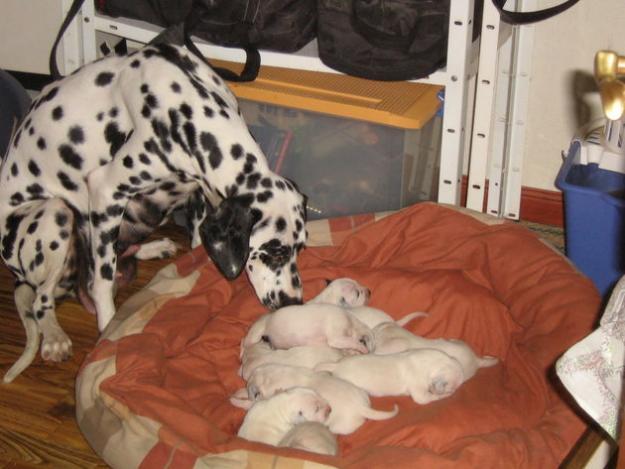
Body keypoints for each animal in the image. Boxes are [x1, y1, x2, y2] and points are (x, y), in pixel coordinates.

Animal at [0, 43, 308, 380]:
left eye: (300, 249)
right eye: (274, 252)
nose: (294, 301)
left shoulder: (196, 191)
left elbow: (197, 246)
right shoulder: (106, 192)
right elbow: (103, 284)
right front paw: (108, 332)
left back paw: (154, 247)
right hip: (54, 213)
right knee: (42, 300)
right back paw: (54, 337)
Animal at [241, 302, 372, 352]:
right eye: (364, 341)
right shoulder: (337, 338)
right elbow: (354, 343)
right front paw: (362, 349)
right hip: (254, 336)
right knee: (243, 343)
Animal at [314, 350, 466, 404]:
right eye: (451, 387)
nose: (454, 390)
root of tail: (337, 366)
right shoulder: (420, 394)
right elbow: (430, 397)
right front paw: (446, 395)